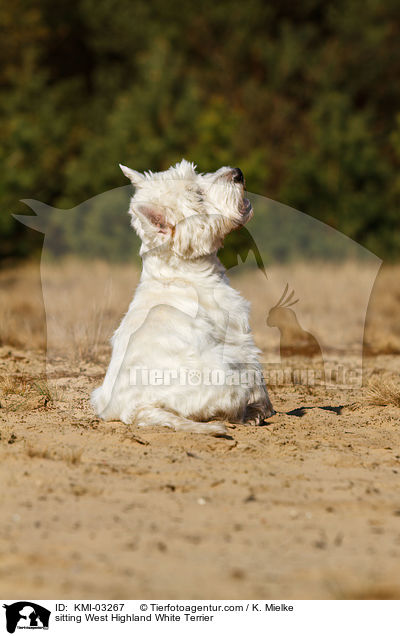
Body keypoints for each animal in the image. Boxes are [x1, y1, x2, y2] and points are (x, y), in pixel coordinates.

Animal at [92, 161, 276, 434]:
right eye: (198, 196)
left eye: (198, 174)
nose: (237, 173)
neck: (180, 271)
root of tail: (137, 409)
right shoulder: (238, 333)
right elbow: (256, 372)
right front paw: (265, 408)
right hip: (225, 381)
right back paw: (249, 415)